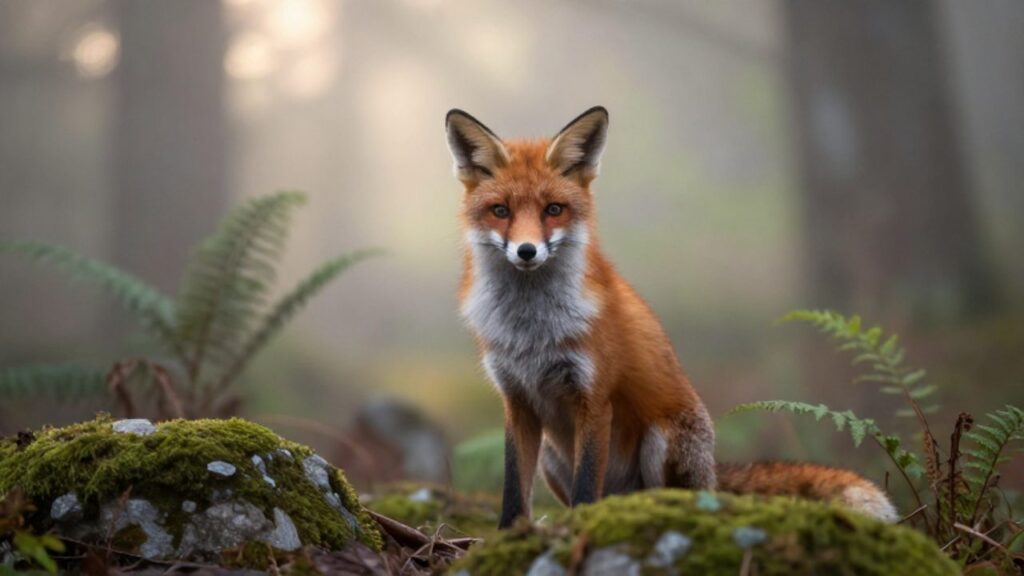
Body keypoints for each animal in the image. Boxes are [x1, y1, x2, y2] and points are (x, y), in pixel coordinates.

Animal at [445, 106, 898, 528]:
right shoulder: (516, 400)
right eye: (501, 211)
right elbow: (512, 489)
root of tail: (712, 473)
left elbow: (585, 487)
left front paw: (579, 528)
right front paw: (511, 534)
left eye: (553, 209)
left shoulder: (594, 398)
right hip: (552, 460)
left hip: (663, 440)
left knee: (675, 497)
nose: (526, 251)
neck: (531, 329)